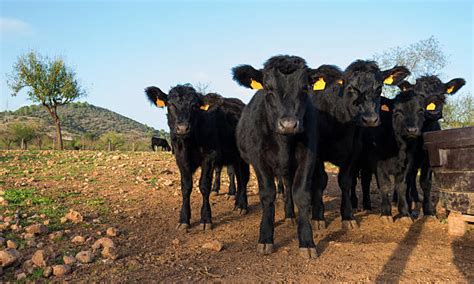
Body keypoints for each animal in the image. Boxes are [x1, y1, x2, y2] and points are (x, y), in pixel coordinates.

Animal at [232, 55, 320, 260]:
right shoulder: (259, 160)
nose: (288, 124)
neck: (284, 142)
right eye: (268, 87)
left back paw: (289, 215)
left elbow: (300, 194)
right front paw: (265, 238)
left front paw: (307, 241)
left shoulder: (308, 156)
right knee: (243, 180)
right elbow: (267, 194)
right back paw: (241, 205)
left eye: (305, 88)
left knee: (287, 186)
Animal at [352, 76, 466, 215]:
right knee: (360, 180)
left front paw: (427, 210)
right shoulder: (378, 160)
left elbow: (424, 183)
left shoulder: (426, 159)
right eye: (420, 94)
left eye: (442, 95)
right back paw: (359, 204)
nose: (434, 112)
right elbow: (387, 184)